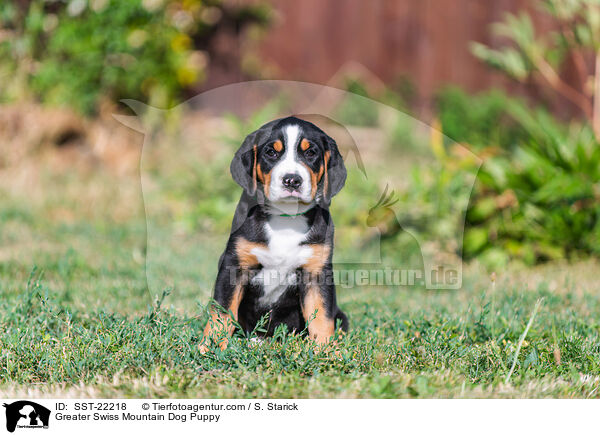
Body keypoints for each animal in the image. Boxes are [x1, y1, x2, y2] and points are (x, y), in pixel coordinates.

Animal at [199, 116, 350, 354]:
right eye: (271, 152)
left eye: (311, 153)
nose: (292, 180)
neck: (285, 217)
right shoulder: (233, 266)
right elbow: (222, 311)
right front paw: (212, 345)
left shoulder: (316, 272)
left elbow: (322, 316)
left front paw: (325, 350)